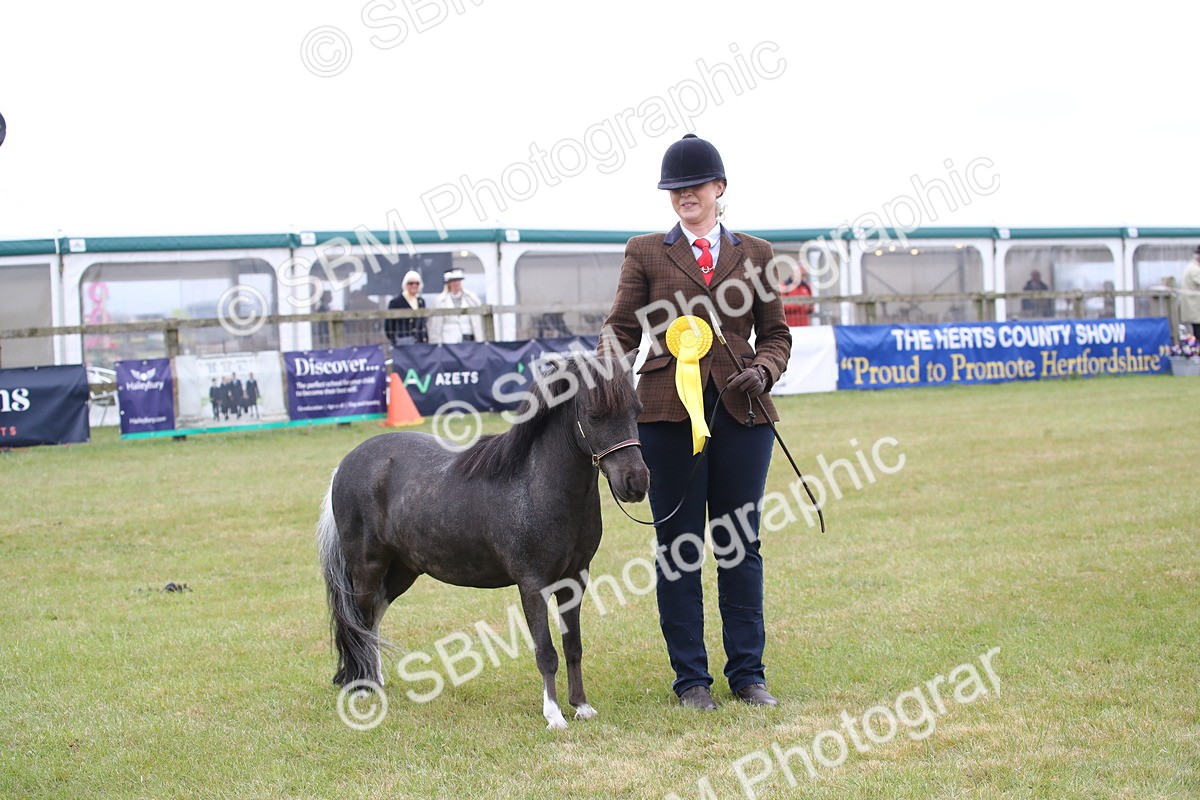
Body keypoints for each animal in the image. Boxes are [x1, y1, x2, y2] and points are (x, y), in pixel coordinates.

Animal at [316, 354, 650, 729]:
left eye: (637, 410)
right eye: (594, 415)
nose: (635, 482)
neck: (535, 484)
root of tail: (345, 464)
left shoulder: (575, 580)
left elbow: (572, 646)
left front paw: (581, 706)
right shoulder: (533, 584)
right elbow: (546, 652)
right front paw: (553, 715)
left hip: (402, 570)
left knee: (372, 617)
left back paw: (375, 680)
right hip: (366, 566)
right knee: (358, 621)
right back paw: (362, 688)